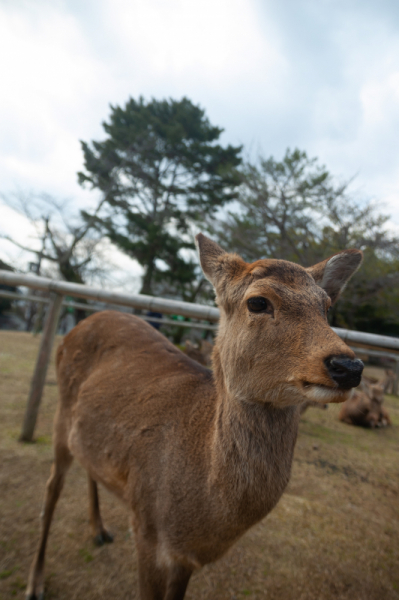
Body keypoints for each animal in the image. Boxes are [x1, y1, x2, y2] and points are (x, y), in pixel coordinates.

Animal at [25, 234, 366, 600]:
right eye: (258, 302)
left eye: (326, 306)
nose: (349, 366)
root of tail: (84, 322)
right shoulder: (146, 528)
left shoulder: (186, 558)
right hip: (61, 411)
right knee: (52, 487)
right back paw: (36, 582)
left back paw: (99, 530)